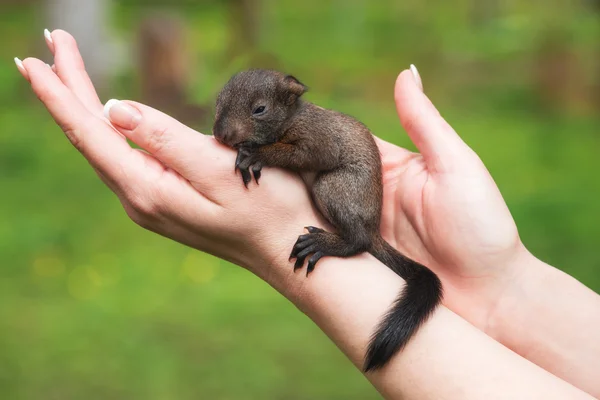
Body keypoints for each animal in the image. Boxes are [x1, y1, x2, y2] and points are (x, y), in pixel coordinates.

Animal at [213, 69, 442, 372]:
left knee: (358, 241)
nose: (221, 134)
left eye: (260, 109)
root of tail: (373, 228)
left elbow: (298, 153)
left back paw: (327, 243)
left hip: (332, 186)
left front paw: (256, 154)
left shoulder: (317, 139)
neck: (292, 118)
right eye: (218, 100)